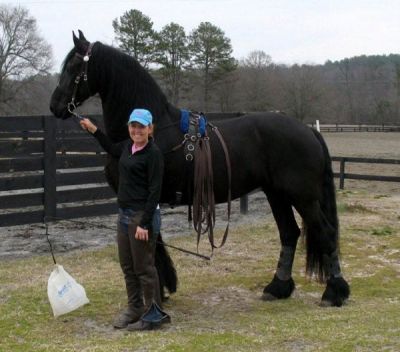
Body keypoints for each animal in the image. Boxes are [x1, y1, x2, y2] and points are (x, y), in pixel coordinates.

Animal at [50, 31, 350, 306]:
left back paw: (334, 292)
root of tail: (308, 130)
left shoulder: (145, 199)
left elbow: (150, 243)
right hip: (276, 194)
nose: (55, 106)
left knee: (325, 233)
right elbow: (155, 242)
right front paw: (164, 288)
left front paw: (157, 295)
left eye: (74, 66)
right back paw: (278, 287)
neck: (148, 131)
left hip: (303, 197)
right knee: (290, 233)